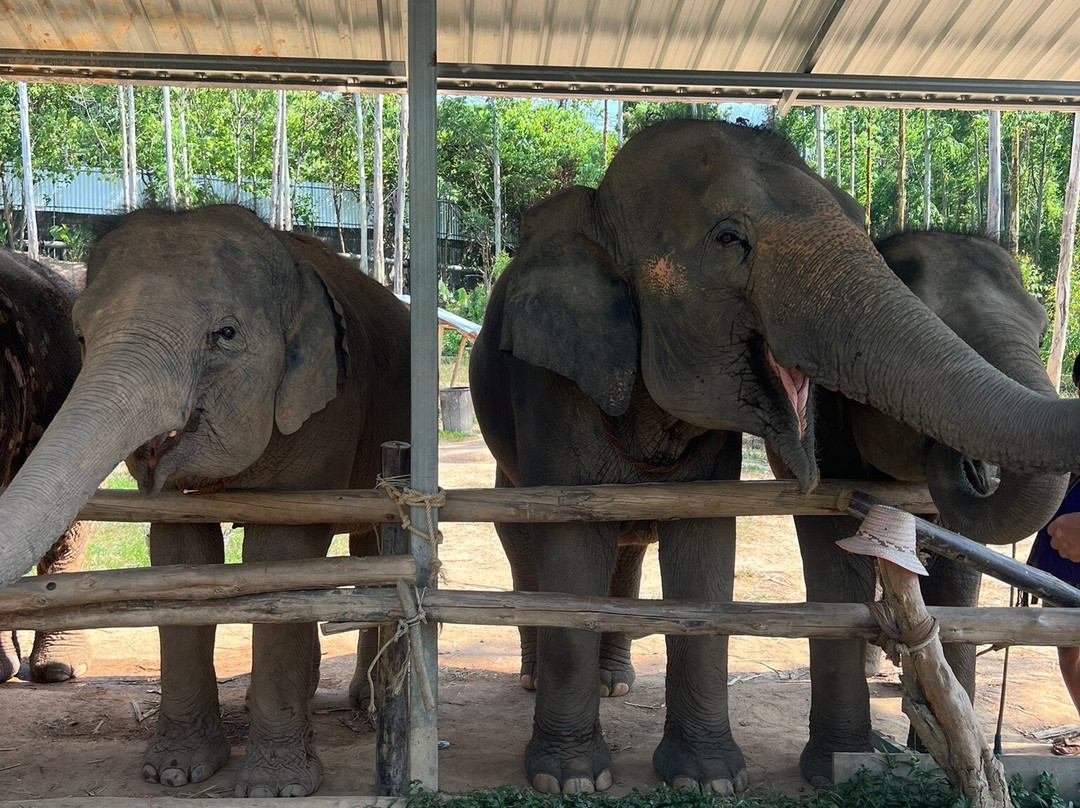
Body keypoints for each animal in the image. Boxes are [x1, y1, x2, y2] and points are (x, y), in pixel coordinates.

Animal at [0, 205, 410, 797]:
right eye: (79, 333)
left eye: (226, 334)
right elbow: (181, 554)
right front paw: (175, 773)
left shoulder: (329, 411)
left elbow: (278, 558)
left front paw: (275, 789)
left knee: (370, 548)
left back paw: (368, 710)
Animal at [783, 230, 1068, 786]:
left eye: (1044, 326)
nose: (970, 462)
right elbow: (833, 545)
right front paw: (832, 766)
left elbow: (960, 563)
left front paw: (939, 755)